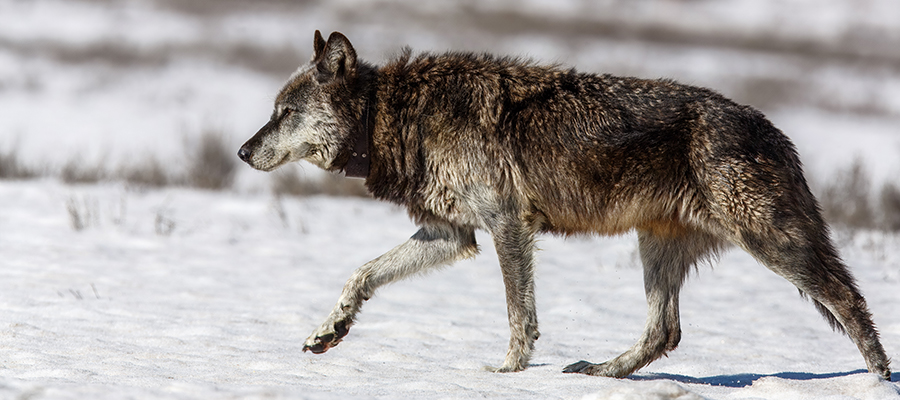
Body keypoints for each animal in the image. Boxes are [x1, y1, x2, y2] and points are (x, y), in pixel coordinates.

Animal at [238, 31, 891, 379]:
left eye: (284, 114)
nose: (243, 151)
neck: (396, 115)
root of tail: (775, 131)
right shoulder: (454, 236)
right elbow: (362, 274)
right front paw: (329, 331)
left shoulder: (508, 225)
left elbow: (517, 315)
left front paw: (507, 373)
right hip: (656, 247)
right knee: (665, 332)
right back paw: (600, 372)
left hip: (773, 244)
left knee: (850, 298)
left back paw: (880, 379)